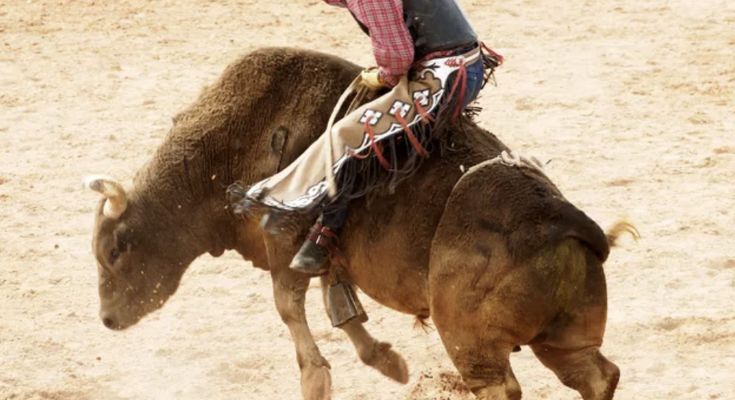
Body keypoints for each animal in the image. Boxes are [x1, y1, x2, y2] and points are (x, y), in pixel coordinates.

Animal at [87, 47, 640, 400]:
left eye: (115, 250)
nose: (107, 320)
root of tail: (561, 221)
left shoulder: (283, 238)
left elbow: (289, 307)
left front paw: (317, 379)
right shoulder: (325, 250)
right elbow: (342, 306)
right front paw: (386, 361)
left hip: (472, 341)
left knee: (501, 387)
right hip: (564, 338)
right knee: (596, 377)